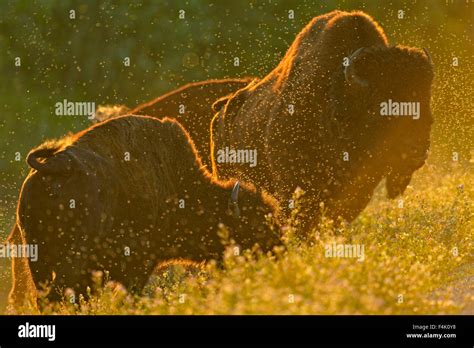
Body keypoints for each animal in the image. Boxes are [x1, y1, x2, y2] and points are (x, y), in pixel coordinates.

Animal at [8, 115, 282, 308]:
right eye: (255, 224)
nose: (279, 249)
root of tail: (59, 165)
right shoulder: (137, 266)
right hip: (71, 258)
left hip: (37, 255)